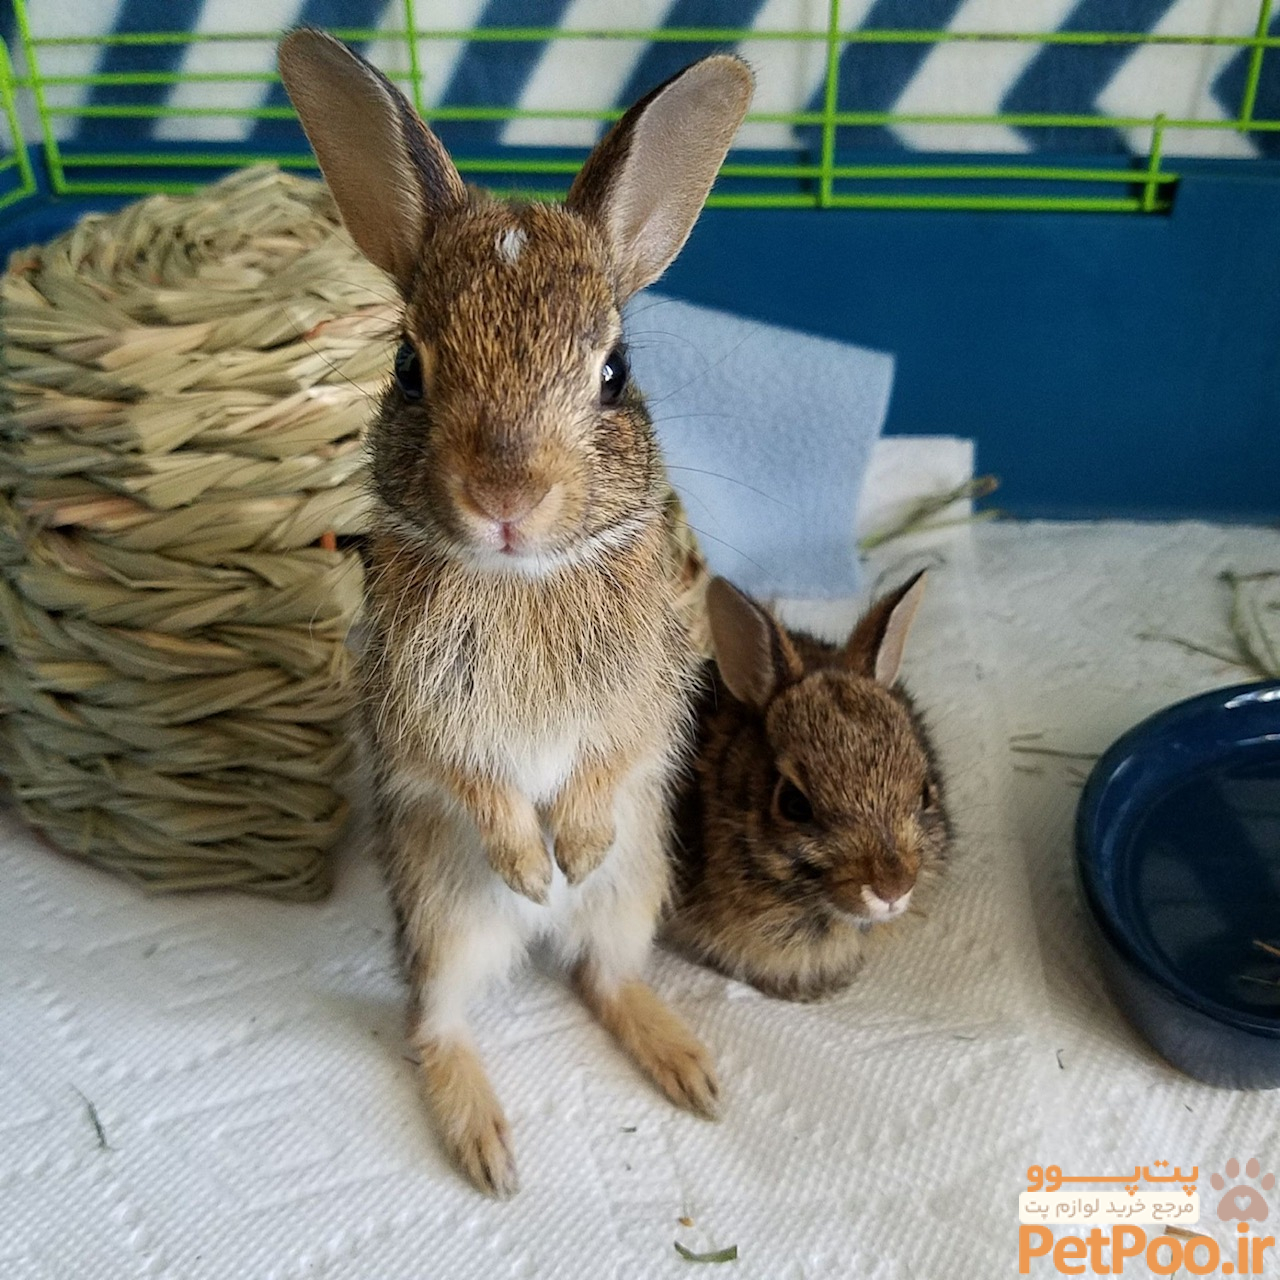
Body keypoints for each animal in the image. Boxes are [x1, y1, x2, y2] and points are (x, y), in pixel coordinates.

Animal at [276, 30, 752, 1197]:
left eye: (615, 372)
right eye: (408, 367)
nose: (504, 497)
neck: (522, 578)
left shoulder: (644, 691)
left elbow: (610, 757)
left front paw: (567, 847)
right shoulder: (420, 709)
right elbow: (473, 778)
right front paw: (532, 863)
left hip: (636, 889)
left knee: (601, 975)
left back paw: (685, 1066)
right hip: (443, 917)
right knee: (435, 1020)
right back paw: (487, 1141)